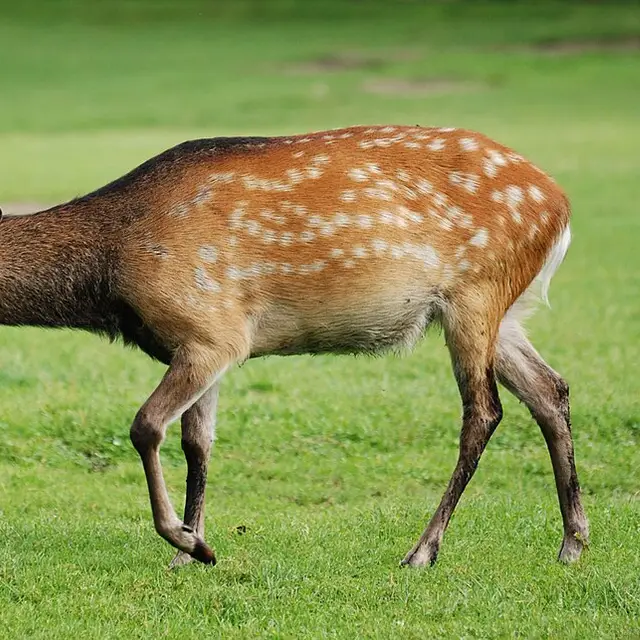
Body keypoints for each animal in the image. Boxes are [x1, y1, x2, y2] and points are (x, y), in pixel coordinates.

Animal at [0, 125, 589, 569]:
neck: (110, 271)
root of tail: (560, 207)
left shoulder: (211, 328)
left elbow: (146, 426)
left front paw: (187, 541)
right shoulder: (202, 344)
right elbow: (198, 442)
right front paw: (192, 550)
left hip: (476, 292)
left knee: (484, 411)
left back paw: (422, 551)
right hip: (504, 312)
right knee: (550, 390)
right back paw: (573, 543)